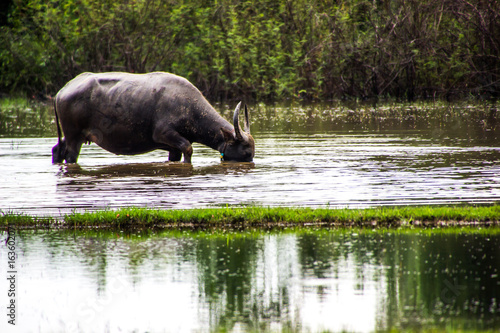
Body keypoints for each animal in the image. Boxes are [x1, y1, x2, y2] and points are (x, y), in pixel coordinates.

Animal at [51, 71, 254, 162]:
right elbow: (188, 149)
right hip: (73, 137)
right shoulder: (164, 134)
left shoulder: (173, 147)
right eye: (246, 153)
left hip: (71, 136)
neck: (189, 106)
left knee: (57, 150)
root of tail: (62, 91)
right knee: (70, 156)